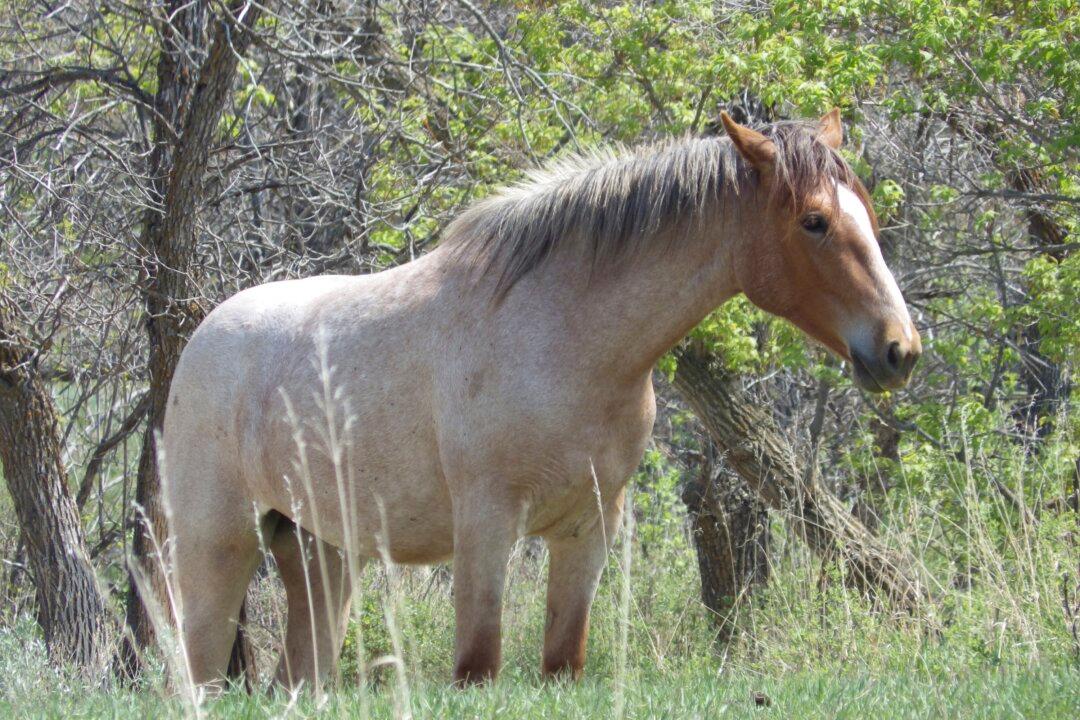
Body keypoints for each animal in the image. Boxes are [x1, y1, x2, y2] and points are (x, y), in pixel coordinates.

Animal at [161, 109, 920, 690]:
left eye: (866, 214)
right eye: (815, 221)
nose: (899, 349)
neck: (565, 338)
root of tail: (204, 335)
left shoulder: (587, 529)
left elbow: (563, 662)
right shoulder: (487, 525)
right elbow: (478, 666)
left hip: (322, 558)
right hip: (216, 552)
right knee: (198, 675)